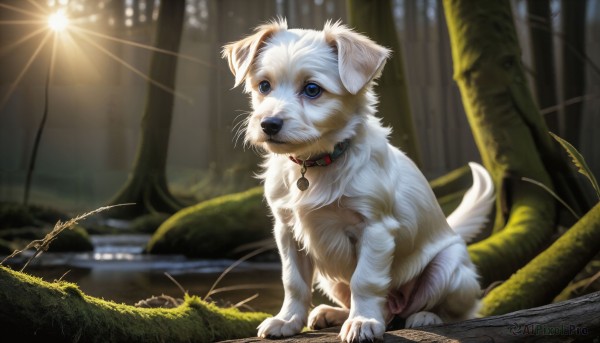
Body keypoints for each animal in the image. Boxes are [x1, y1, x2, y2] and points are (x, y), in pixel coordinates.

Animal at [223, 19, 494, 343]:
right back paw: (332, 314)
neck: (316, 164)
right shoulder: (288, 231)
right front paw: (287, 320)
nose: (269, 124)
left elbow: (365, 281)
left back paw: (426, 316)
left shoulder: (375, 229)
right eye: (264, 86)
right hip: (329, 277)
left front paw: (363, 321)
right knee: (376, 308)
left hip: (449, 266)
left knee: (459, 310)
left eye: (312, 90)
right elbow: (294, 282)